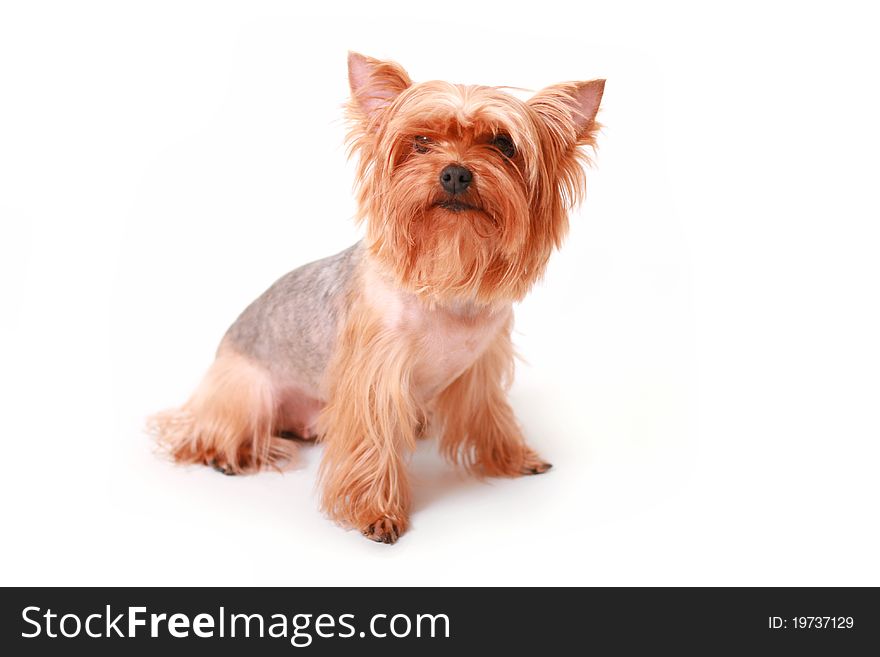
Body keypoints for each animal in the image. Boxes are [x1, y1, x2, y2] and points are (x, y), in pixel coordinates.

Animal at [153, 52, 604, 544]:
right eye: (421, 141)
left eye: (504, 145)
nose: (456, 172)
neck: (445, 276)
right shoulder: (375, 378)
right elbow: (372, 442)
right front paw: (376, 512)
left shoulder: (479, 369)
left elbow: (491, 417)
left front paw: (512, 457)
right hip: (246, 392)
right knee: (203, 433)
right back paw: (230, 453)